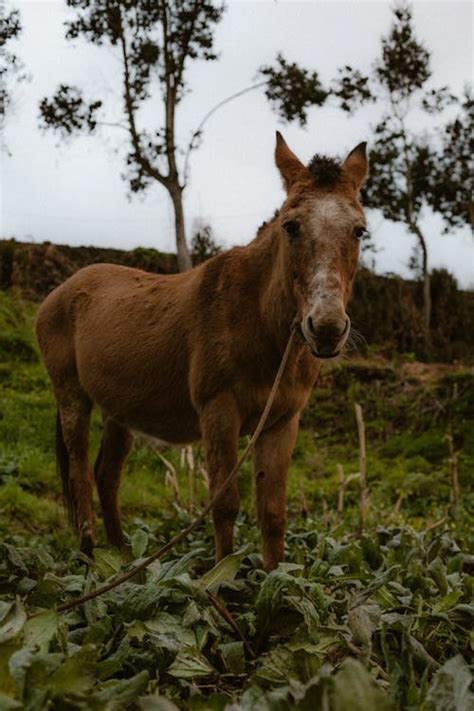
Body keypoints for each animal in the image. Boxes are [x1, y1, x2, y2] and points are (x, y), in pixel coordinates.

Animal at [38, 135, 370, 572]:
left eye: (359, 231)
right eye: (291, 226)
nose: (327, 328)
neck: (256, 318)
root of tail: (59, 292)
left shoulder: (281, 423)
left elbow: (272, 513)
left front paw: (278, 582)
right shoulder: (219, 412)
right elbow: (224, 506)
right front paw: (222, 580)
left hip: (118, 410)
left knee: (107, 476)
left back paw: (122, 555)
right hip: (72, 396)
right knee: (79, 471)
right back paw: (89, 554)